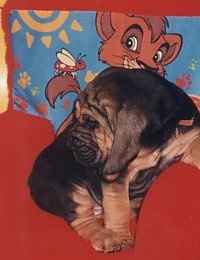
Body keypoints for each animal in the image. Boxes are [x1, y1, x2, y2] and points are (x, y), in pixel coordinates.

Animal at [28, 66, 200, 253]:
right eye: (75, 115)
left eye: (93, 123)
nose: (71, 140)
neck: (155, 140)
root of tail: (30, 179)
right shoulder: (117, 176)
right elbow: (119, 209)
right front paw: (123, 239)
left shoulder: (189, 139)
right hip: (67, 193)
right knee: (83, 220)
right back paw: (106, 236)